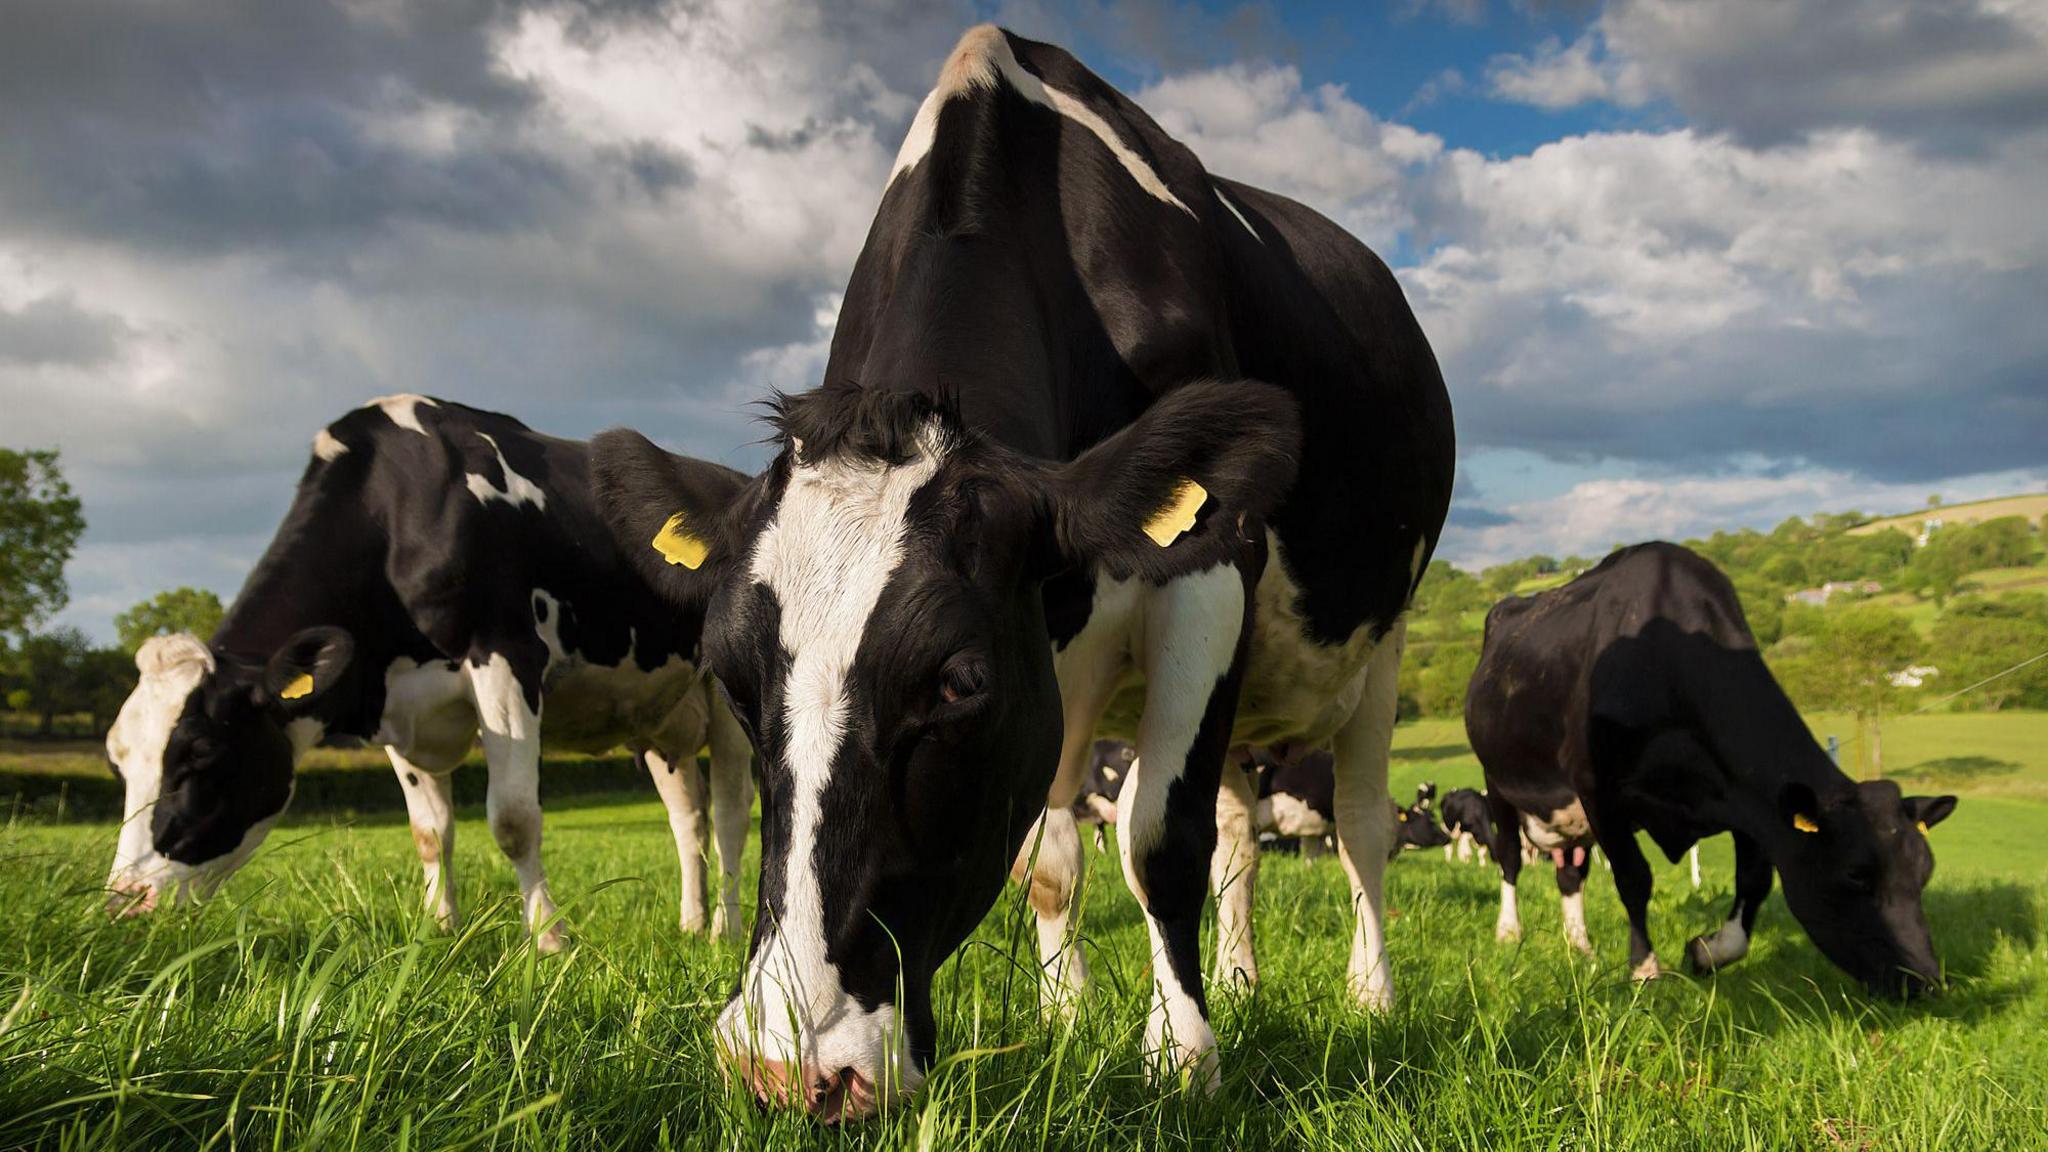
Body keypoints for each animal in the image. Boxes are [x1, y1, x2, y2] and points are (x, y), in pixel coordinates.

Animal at [99, 393, 757, 942]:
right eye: (118, 761)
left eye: (201, 754)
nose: (125, 903)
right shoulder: (397, 706)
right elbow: (429, 833)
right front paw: (439, 931)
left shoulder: (506, 658)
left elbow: (514, 819)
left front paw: (549, 940)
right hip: (658, 716)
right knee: (688, 817)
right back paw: (692, 923)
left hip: (725, 698)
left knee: (730, 812)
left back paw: (725, 930)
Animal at [593, 24, 1458, 1115]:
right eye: (732, 680)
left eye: (957, 682)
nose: (793, 1069)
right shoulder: (1055, 661)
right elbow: (1052, 860)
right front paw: (1069, 1018)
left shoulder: (1211, 566)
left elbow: (1157, 837)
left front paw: (1182, 1059)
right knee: (1235, 833)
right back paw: (1236, 978)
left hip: (1381, 645)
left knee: (1356, 824)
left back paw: (1368, 994)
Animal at [1466, 541, 1957, 992]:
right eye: (1855, 875)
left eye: (1925, 872)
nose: (1926, 982)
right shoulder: (1597, 788)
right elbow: (1634, 878)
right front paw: (1645, 970)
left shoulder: (1750, 801)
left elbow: (1754, 883)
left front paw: (1706, 951)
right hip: (1499, 783)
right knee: (1509, 857)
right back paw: (1509, 931)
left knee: (1570, 873)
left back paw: (1580, 944)